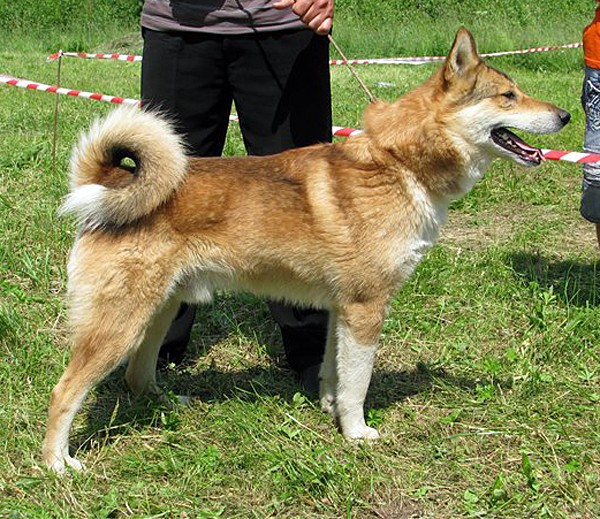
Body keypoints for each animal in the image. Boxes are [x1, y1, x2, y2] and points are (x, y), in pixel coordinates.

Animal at [43, 28, 570, 472]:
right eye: (508, 96)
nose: (565, 115)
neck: (401, 164)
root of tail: (110, 184)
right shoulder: (366, 308)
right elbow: (358, 382)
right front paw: (357, 433)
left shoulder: (341, 310)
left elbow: (334, 373)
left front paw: (330, 411)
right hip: (120, 322)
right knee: (65, 389)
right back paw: (57, 464)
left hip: (160, 309)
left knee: (138, 374)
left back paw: (165, 401)